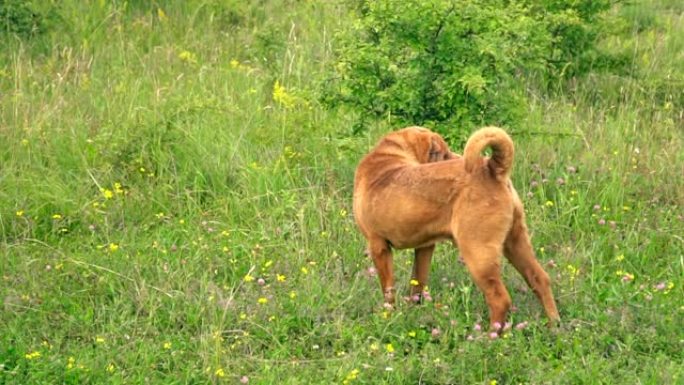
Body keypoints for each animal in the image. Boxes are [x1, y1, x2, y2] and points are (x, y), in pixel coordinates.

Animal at [356, 126, 560, 328]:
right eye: (442, 153)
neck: (388, 155)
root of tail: (492, 168)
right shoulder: (424, 247)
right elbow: (417, 282)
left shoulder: (378, 246)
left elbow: (388, 289)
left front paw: (388, 315)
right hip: (516, 242)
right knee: (540, 279)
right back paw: (554, 325)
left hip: (478, 252)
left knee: (499, 299)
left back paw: (490, 334)